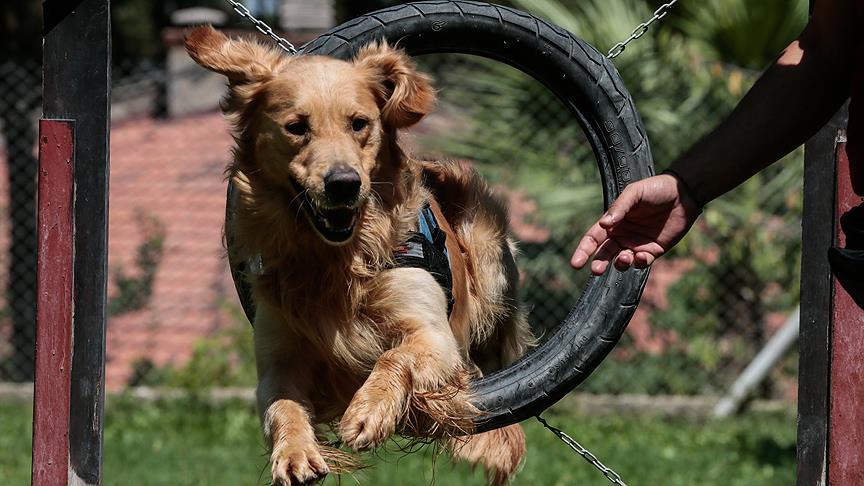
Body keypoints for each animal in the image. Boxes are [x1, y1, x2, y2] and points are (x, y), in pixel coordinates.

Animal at [186, 26, 528, 486]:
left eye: (359, 124)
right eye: (297, 127)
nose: (343, 184)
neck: (333, 259)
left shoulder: (435, 336)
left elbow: (394, 356)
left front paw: (368, 412)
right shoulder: (277, 358)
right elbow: (282, 407)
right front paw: (294, 452)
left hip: (488, 253)